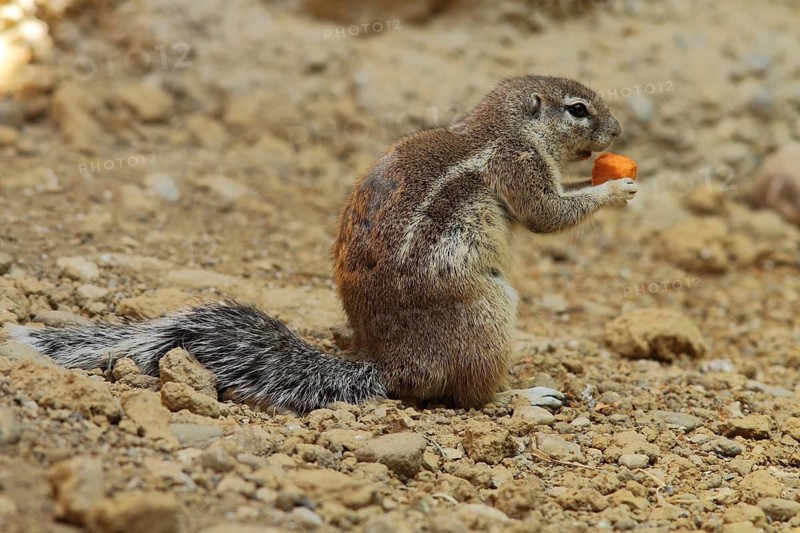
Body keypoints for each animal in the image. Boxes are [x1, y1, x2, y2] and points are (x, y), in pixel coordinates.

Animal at [7, 75, 636, 414]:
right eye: (578, 110)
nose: (618, 132)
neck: (499, 128)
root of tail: (389, 365)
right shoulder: (519, 164)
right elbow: (548, 214)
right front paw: (618, 186)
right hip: (489, 311)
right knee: (470, 396)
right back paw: (524, 396)